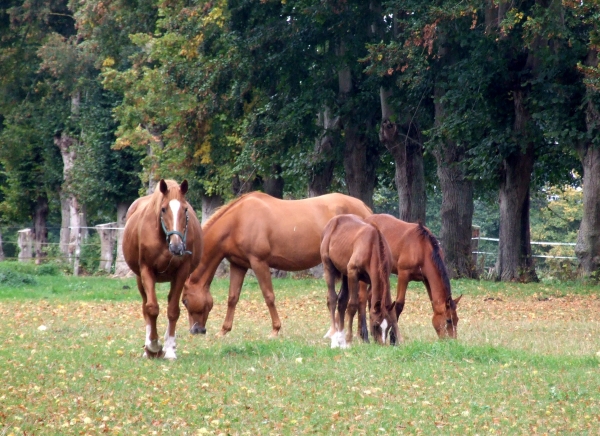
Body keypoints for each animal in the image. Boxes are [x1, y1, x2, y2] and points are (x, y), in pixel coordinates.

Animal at [122, 179, 202, 360]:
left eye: (185, 209)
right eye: (163, 209)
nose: (177, 246)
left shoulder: (181, 273)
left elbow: (173, 311)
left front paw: (169, 349)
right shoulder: (146, 270)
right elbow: (151, 308)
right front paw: (153, 346)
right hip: (140, 279)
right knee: (145, 307)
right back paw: (148, 349)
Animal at [180, 192, 372, 338]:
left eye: (185, 300)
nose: (196, 330)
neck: (238, 221)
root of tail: (364, 207)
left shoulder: (259, 263)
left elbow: (269, 296)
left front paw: (275, 329)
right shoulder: (238, 265)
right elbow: (232, 298)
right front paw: (224, 330)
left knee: (362, 298)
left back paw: (361, 334)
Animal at [318, 213, 398, 350]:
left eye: (388, 326)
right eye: (376, 324)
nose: (381, 344)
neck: (372, 246)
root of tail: (332, 222)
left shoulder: (373, 279)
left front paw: (347, 340)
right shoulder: (353, 273)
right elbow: (353, 306)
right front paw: (349, 341)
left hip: (345, 274)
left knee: (342, 301)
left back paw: (340, 339)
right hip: (329, 267)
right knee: (332, 299)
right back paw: (334, 338)